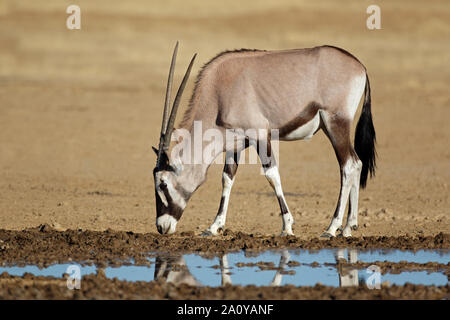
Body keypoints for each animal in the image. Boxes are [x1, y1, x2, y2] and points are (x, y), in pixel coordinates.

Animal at [153, 42, 374, 238]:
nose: (162, 227)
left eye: (162, 184)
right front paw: (214, 226)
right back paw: (349, 227)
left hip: (335, 124)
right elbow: (227, 178)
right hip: (333, 128)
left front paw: (287, 226)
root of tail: (360, 67)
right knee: (357, 163)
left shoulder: (260, 135)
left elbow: (271, 174)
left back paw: (332, 228)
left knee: (348, 165)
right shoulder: (236, 143)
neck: (218, 93)